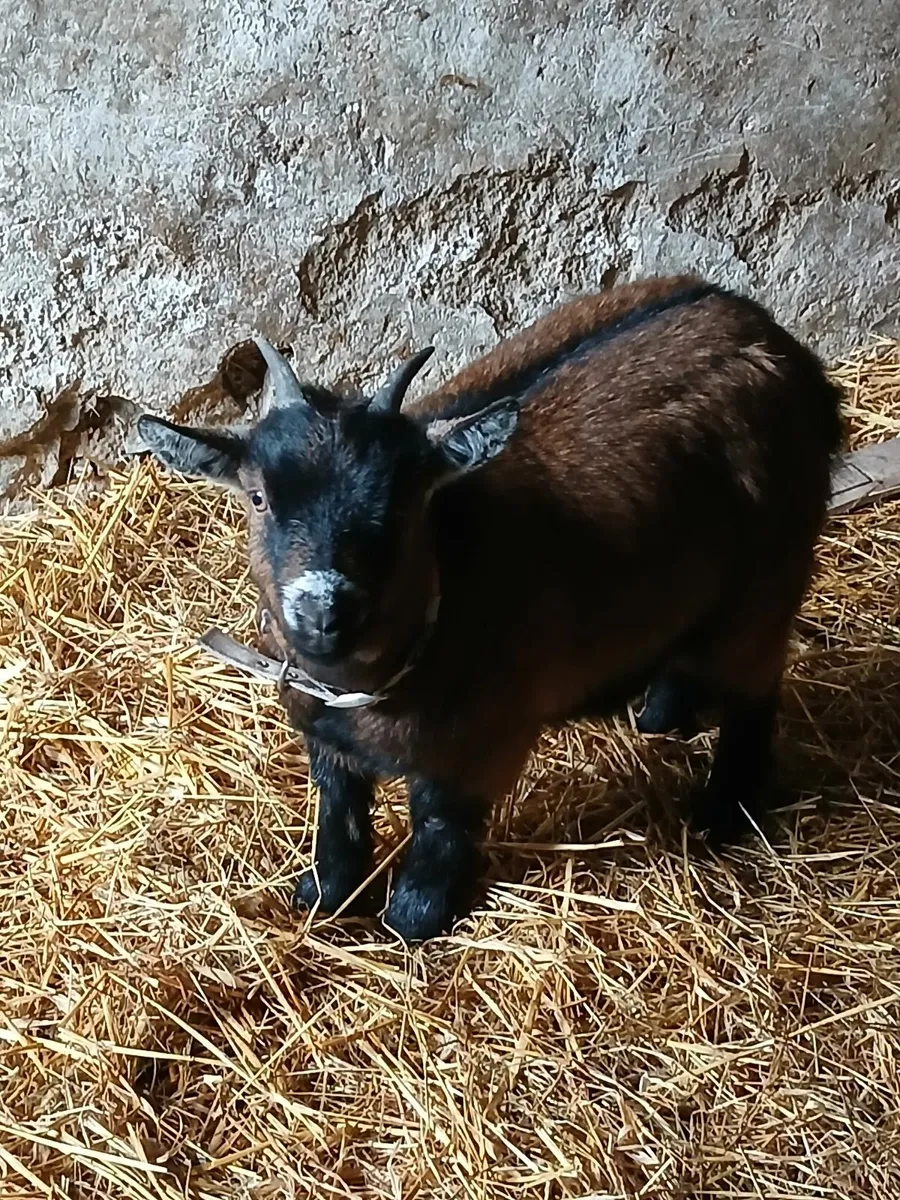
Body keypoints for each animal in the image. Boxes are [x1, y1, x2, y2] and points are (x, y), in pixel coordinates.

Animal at [138, 275, 842, 942]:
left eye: (405, 502)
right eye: (258, 497)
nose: (322, 614)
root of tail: (767, 333)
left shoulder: (481, 744)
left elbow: (440, 828)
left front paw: (413, 921)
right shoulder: (325, 734)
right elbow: (339, 815)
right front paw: (324, 897)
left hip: (766, 581)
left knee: (754, 688)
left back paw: (724, 813)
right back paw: (660, 718)